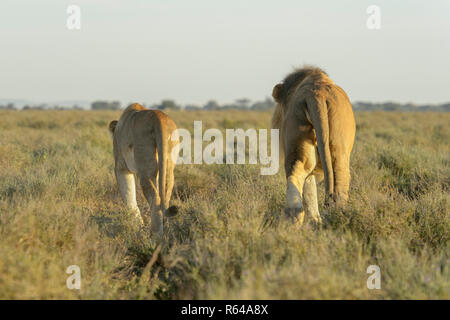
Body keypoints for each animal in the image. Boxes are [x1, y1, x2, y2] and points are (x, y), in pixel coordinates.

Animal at [109, 102, 179, 235]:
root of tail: (158, 117)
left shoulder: (121, 167)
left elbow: (129, 197)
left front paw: (137, 226)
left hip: (145, 168)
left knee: (156, 198)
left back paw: (155, 234)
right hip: (167, 165)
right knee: (165, 196)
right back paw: (166, 229)